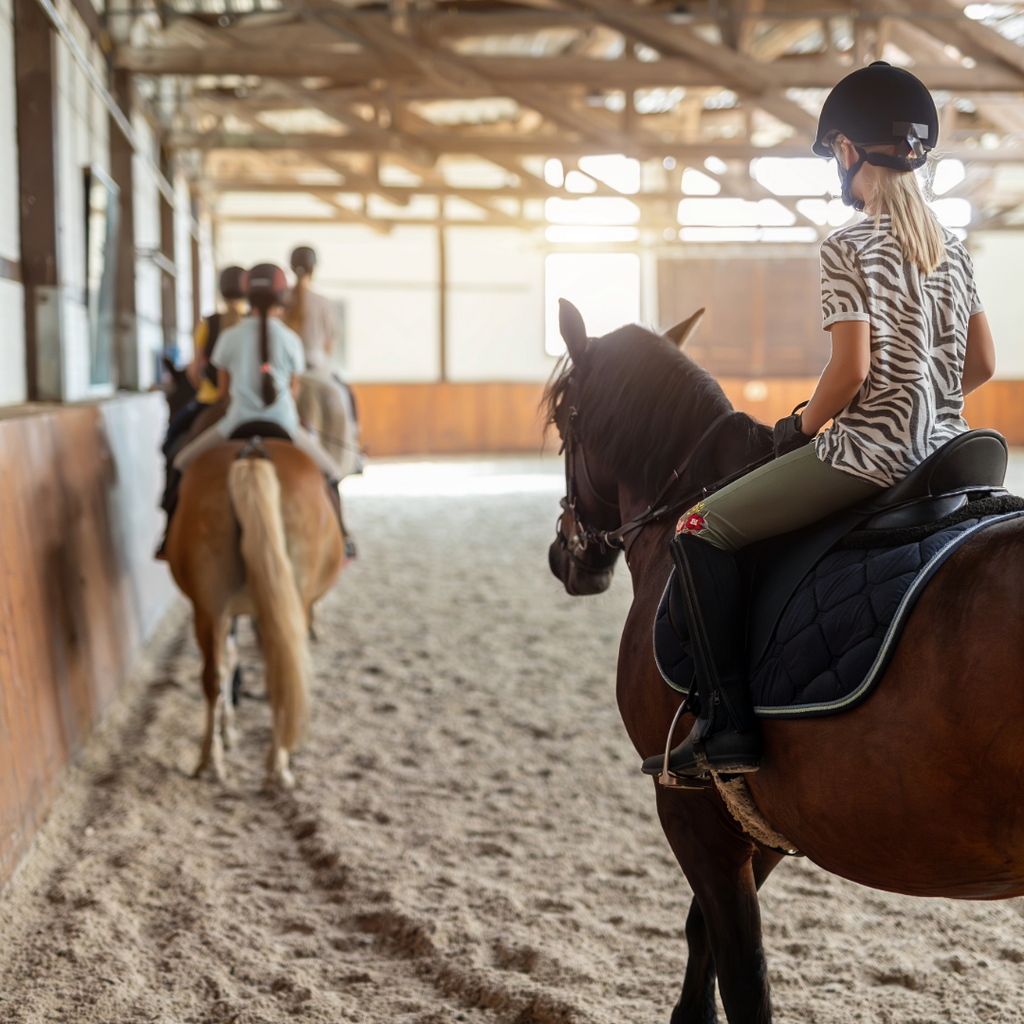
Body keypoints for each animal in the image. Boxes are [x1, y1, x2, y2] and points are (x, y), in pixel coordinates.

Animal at [548, 299, 1024, 1024]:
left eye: (561, 421)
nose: (565, 557)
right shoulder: (763, 813)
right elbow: (705, 935)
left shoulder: (689, 804)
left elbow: (742, 969)